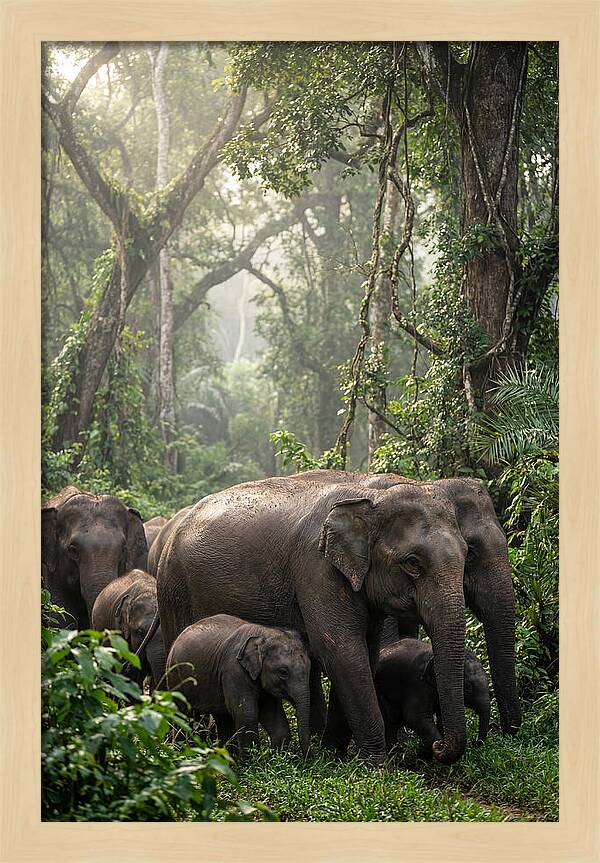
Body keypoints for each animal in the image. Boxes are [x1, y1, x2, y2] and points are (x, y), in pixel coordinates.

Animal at [166, 614, 311, 755]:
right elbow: (246, 714)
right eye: (283, 672)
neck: (264, 633)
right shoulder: (233, 671)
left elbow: (274, 717)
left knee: (223, 719)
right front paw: (252, 760)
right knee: (183, 715)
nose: (306, 757)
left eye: (309, 668)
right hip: (175, 677)